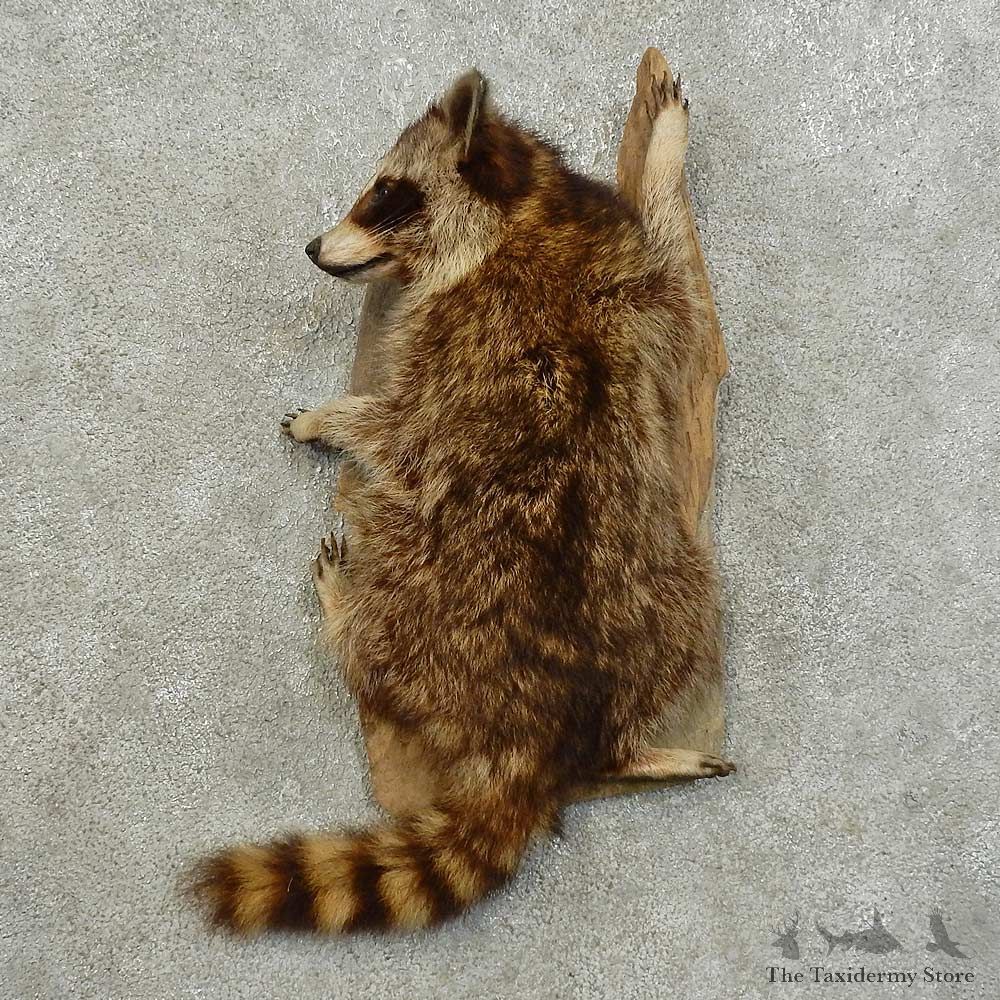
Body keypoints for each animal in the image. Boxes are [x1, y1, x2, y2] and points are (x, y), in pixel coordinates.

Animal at [192, 68, 733, 934]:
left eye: (385, 191)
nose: (312, 247)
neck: (525, 209)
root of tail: (534, 744)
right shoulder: (633, 279)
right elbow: (679, 276)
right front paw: (664, 158)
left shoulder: (459, 332)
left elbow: (398, 428)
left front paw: (330, 417)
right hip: (665, 588)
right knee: (688, 601)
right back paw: (634, 749)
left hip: (422, 590)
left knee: (385, 579)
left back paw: (345, 610)